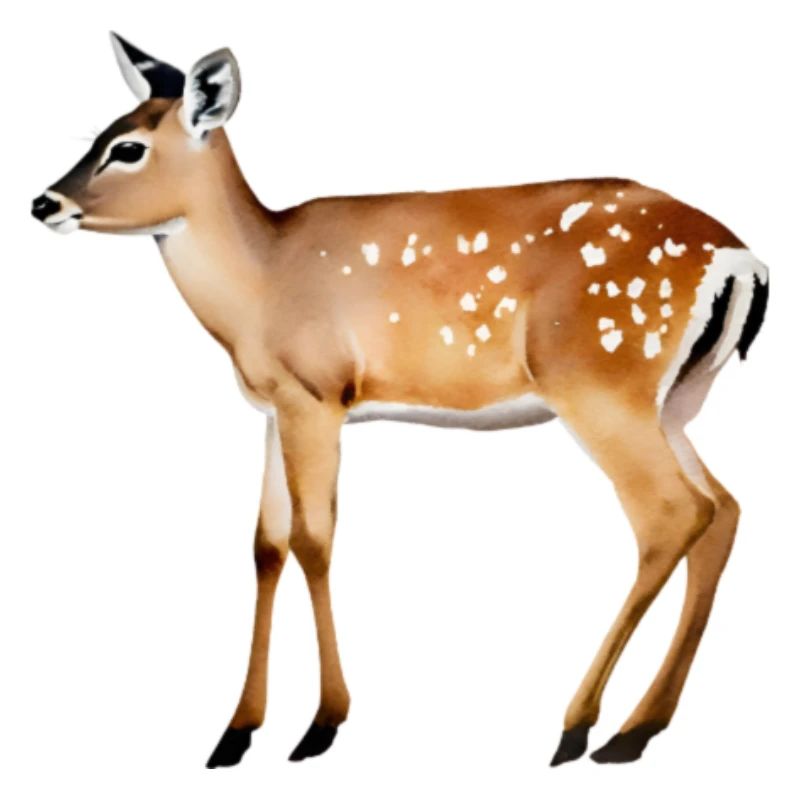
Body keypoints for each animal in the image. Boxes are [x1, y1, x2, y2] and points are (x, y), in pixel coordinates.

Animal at [31, 33, 768, 770]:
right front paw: (235, 734)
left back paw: (580, 727)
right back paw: (638, 728)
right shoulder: (274, 408)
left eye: (128, 148)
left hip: (599, 383)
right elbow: (265, 544)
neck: (258, 284)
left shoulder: (316, 393)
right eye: (101, 133)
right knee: (723, 509)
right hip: (674, 399)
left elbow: (314, 539)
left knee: (672, 514)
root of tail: (745, 260)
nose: (43, 203)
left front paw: (321, 723)